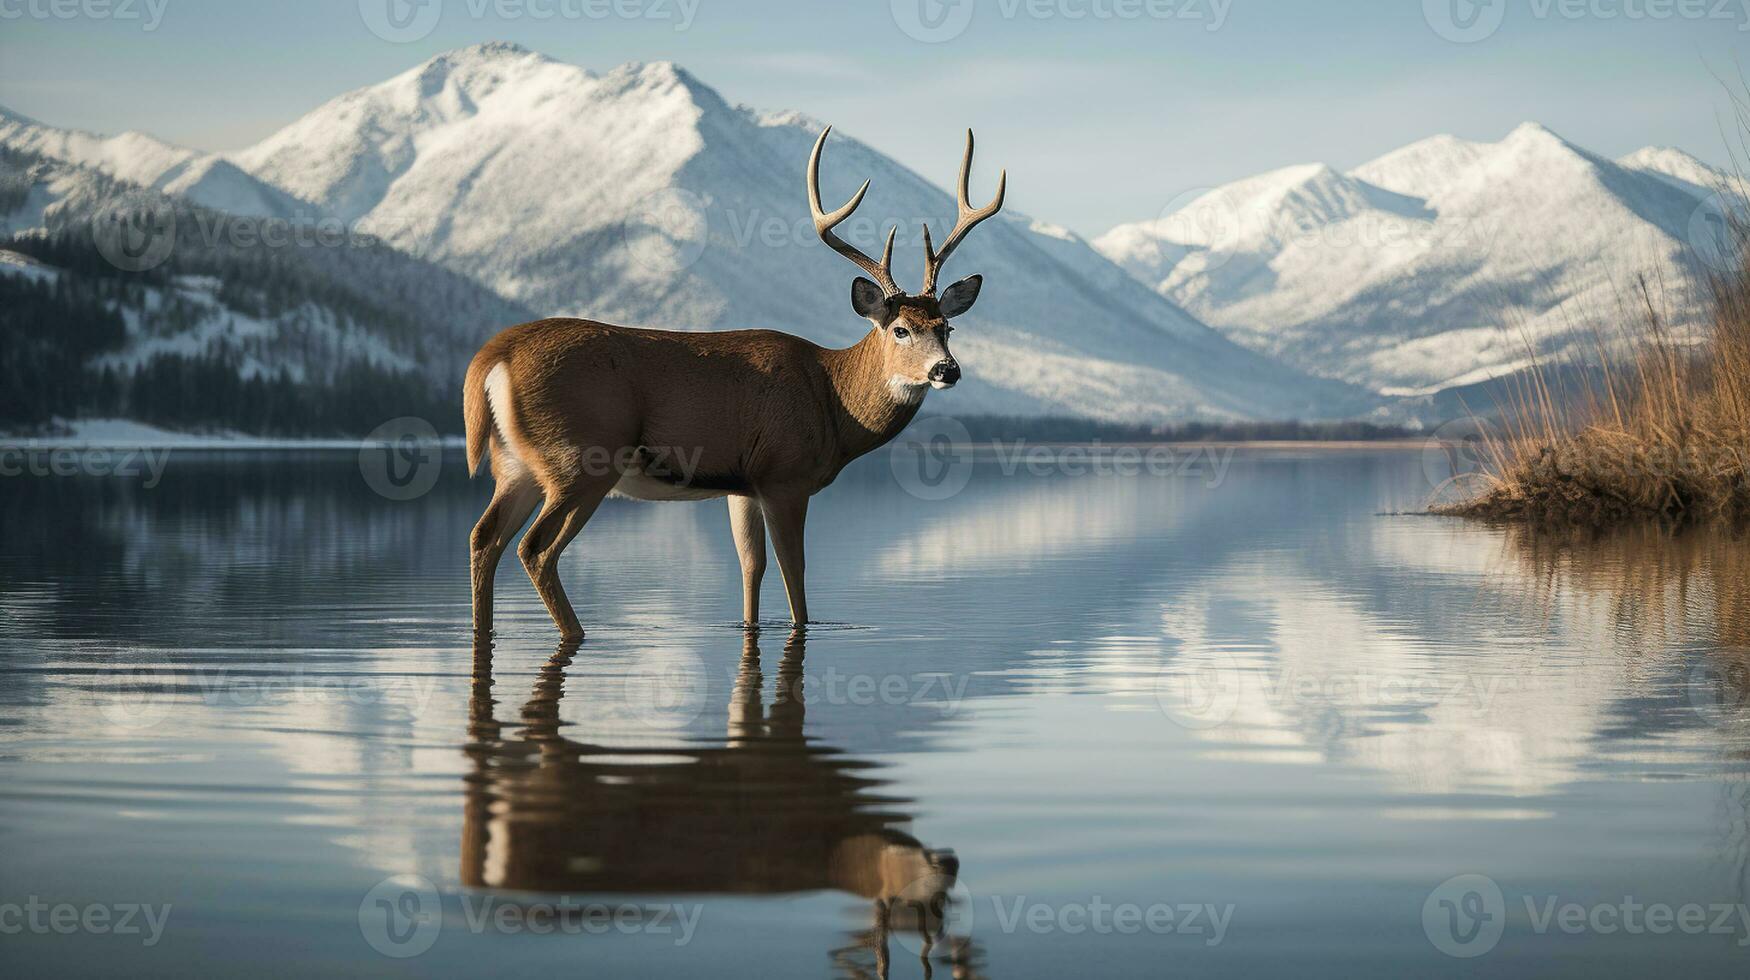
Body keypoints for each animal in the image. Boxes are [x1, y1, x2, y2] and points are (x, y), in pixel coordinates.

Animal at [465, 124, 1008, 644]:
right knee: (534, 549)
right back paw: (576, 631)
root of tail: (493, 357)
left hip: (516, 465)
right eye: (900, 329)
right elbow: (795, 577)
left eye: (947, 327)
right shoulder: (785, 475)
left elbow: (751, 569)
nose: (947, 370)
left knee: (483, 537)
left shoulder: (741, 485)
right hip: (581, 459)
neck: (833, 402)